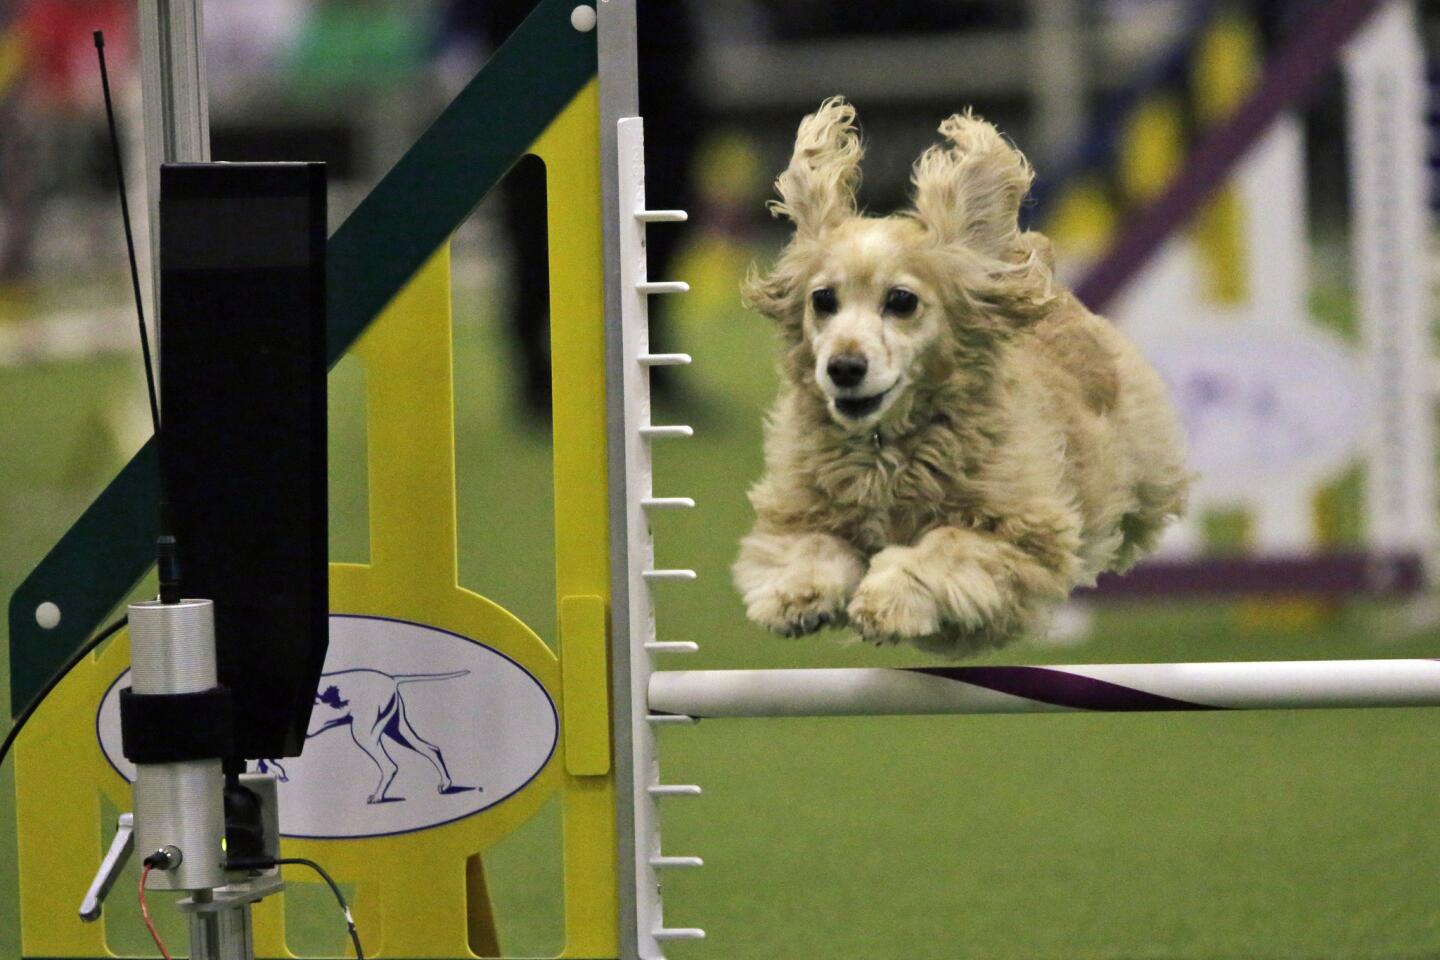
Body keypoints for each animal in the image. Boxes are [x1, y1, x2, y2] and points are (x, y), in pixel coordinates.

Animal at [737, 97, 1186, 656]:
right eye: (822, 299)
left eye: (901, 300)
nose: (843, 367)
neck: (888, 450)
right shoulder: (798, 512)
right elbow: (811, 544)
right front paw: (797, 595)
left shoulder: (1022, 535)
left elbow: (944, 547)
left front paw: (886, 599)